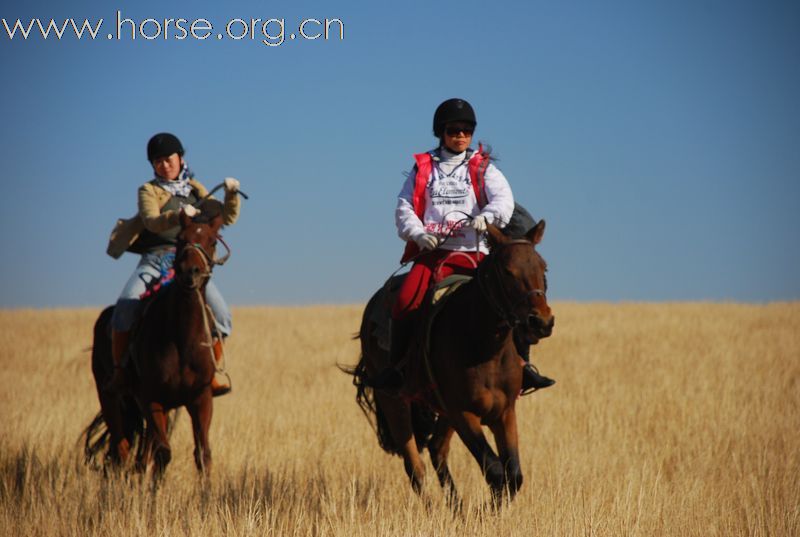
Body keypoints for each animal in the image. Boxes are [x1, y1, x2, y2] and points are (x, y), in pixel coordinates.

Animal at [85, 209, 228, 478]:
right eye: (181, 238)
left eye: (213, 241)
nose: (190, 272)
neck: (183, 340)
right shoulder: (151, 399)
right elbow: (163, 454)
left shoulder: (201, 399)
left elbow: (202, 455)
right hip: (110, 399)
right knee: (121, 449)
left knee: (139, 456)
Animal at [346, 221, 552, 502]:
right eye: (507, 271)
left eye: (543, 268)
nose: (541, 321)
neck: (486, 349)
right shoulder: (462, 413)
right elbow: (495, 471)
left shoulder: (505, 412)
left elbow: (513, 476)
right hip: (394, 402)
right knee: (415, 466)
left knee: (437, 449)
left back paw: (456, 506)